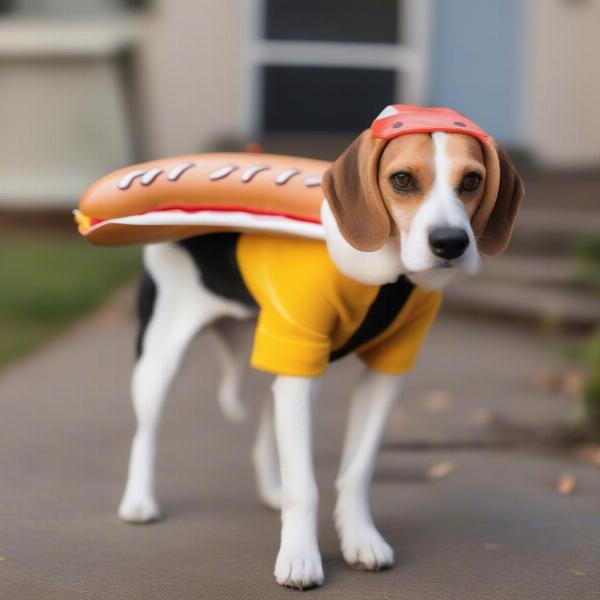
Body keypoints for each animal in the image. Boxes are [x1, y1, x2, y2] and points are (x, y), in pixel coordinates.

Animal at [77, 105, 524, 588]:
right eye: (402, 179)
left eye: (472, 180)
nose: (450, 243)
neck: (388, 276)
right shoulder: (299, 373)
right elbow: (304, 486)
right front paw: (299, 556)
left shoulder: (382, 374)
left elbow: (357, 471)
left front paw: (361, 538)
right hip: (161, 359)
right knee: (147, 433)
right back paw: (139, 502)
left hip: (277, 360)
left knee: (263, 435)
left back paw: (270, 490)